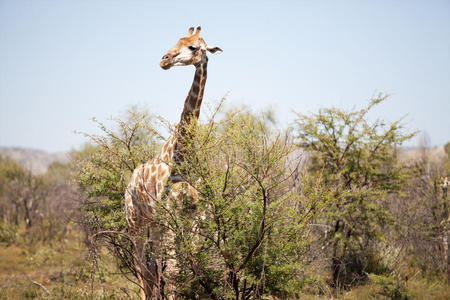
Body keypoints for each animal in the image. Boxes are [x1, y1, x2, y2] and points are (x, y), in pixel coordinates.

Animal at [124, 27, 222, 298]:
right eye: (177, 41)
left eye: (193, 47)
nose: (164, 60)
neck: (182, 155)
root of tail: (129, 183)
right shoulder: (170, 217)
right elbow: (175, 270)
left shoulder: (195, 215)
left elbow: (191, 265)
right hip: (135, 222)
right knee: (142, 267)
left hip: (154, 225)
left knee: (152, 266)